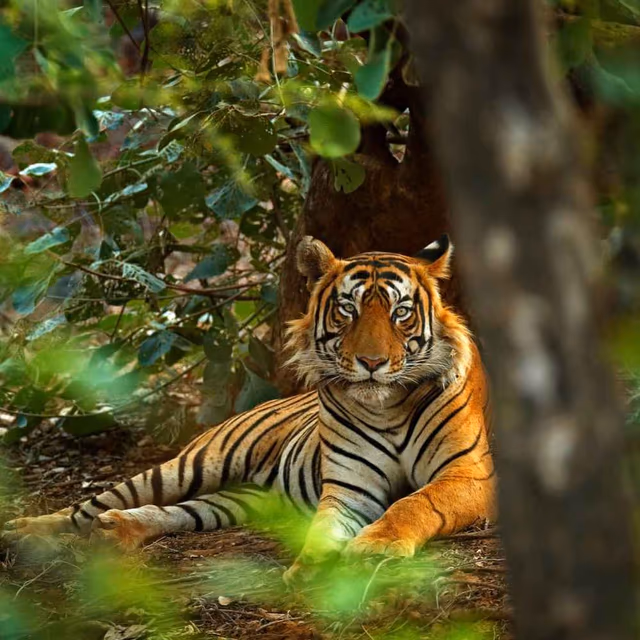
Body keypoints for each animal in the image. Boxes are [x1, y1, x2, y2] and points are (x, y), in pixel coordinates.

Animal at [3, 235, 495, 582]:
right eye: (347, 310)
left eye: (401, 313)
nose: (371, 363)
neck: (387, 406)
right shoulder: (349, 488)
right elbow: (324, 527)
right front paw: (311, 567)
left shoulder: (469, 474)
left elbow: (415, 502)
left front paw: (376, 546)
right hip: (191, 465)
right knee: (89, 506)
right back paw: (24, 531)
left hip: (242, 499)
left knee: (178, 512)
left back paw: (117, 530)